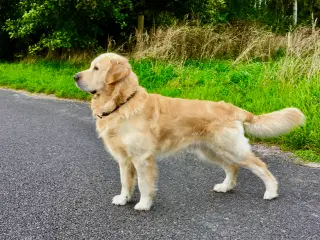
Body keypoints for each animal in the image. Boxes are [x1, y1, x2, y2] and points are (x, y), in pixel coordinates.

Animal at [74, 52, 304, 210]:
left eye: (96, 68)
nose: (75, 77)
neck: (123, 103)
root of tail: (233, 107)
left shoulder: (142, 158)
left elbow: (144, 184)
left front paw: (144, 204)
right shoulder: (124, 159)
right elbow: (125, 182)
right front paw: (123, 199)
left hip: (231, 148)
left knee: (260, 166)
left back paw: (271, 192)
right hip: (210, 151)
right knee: (232, 167)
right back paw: (225, 187)